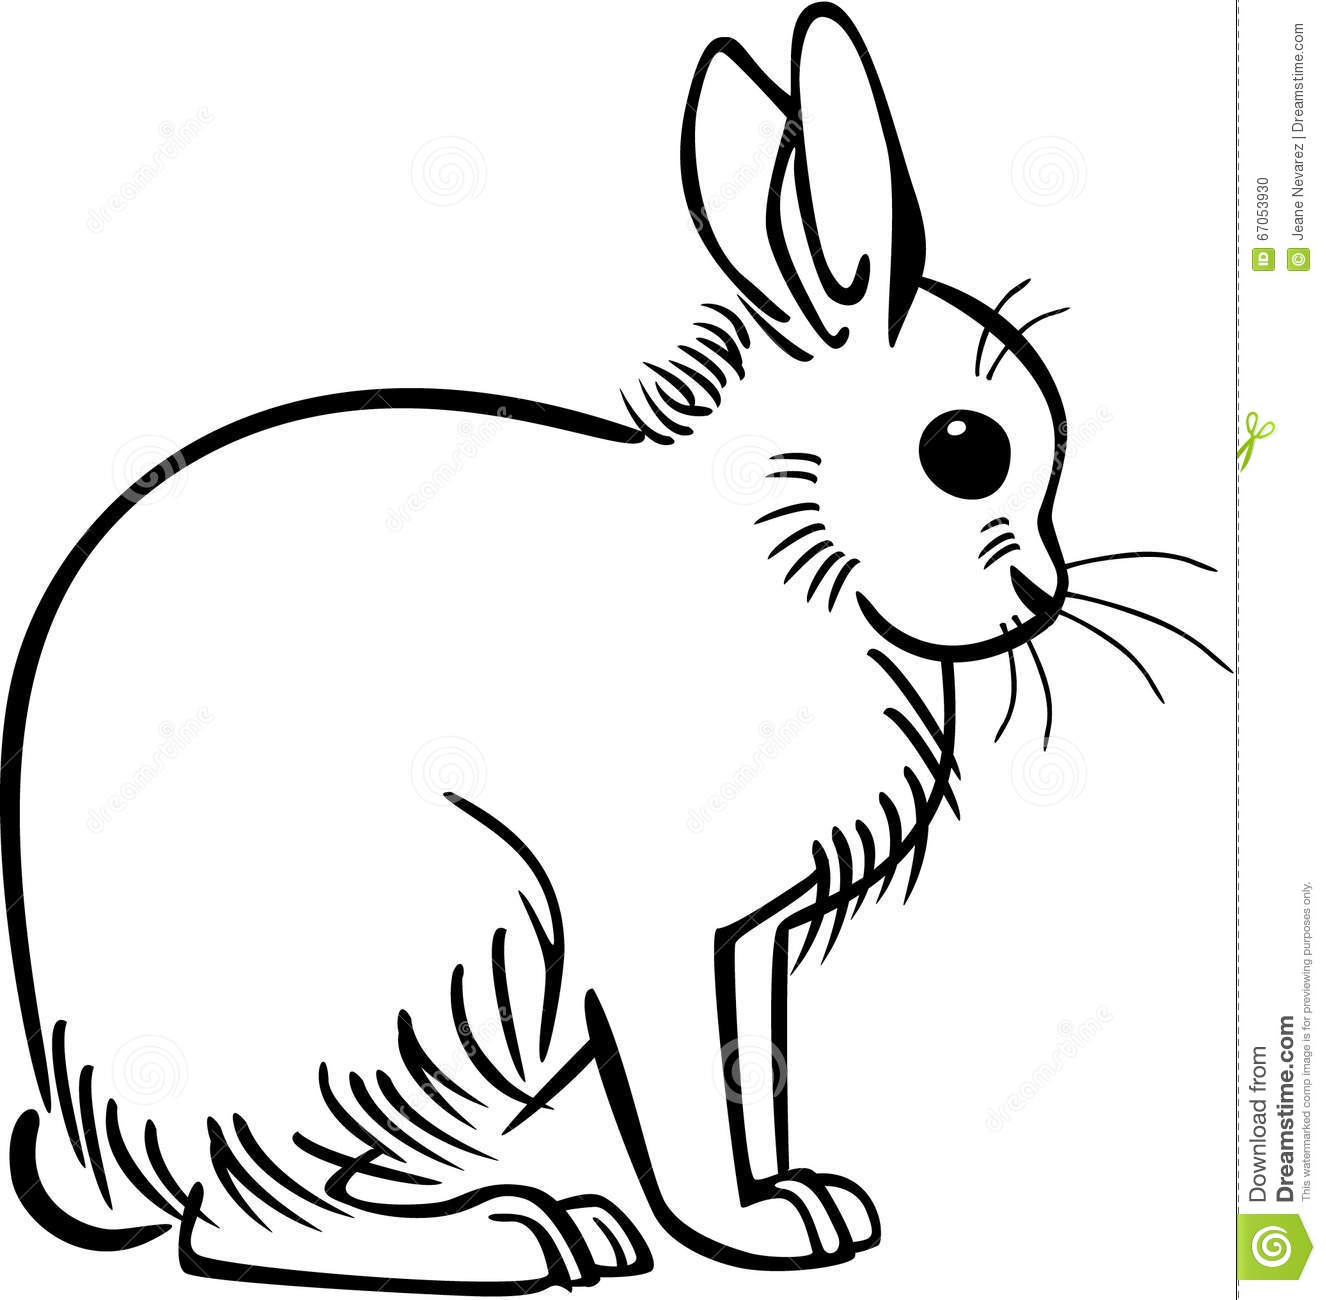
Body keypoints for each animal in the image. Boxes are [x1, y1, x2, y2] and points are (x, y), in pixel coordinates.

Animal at [2, 2, 1227, 1293]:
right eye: (964, 450)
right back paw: (516, 1232)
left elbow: (752, 1071)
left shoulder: (745, 941)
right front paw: (750, 1230)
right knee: (239, 1213)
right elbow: (683, 1100)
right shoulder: (648, 925)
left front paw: (799, 1200)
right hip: (449, 930)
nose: (1040, 596)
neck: (782, 543)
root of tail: (99, 1115)